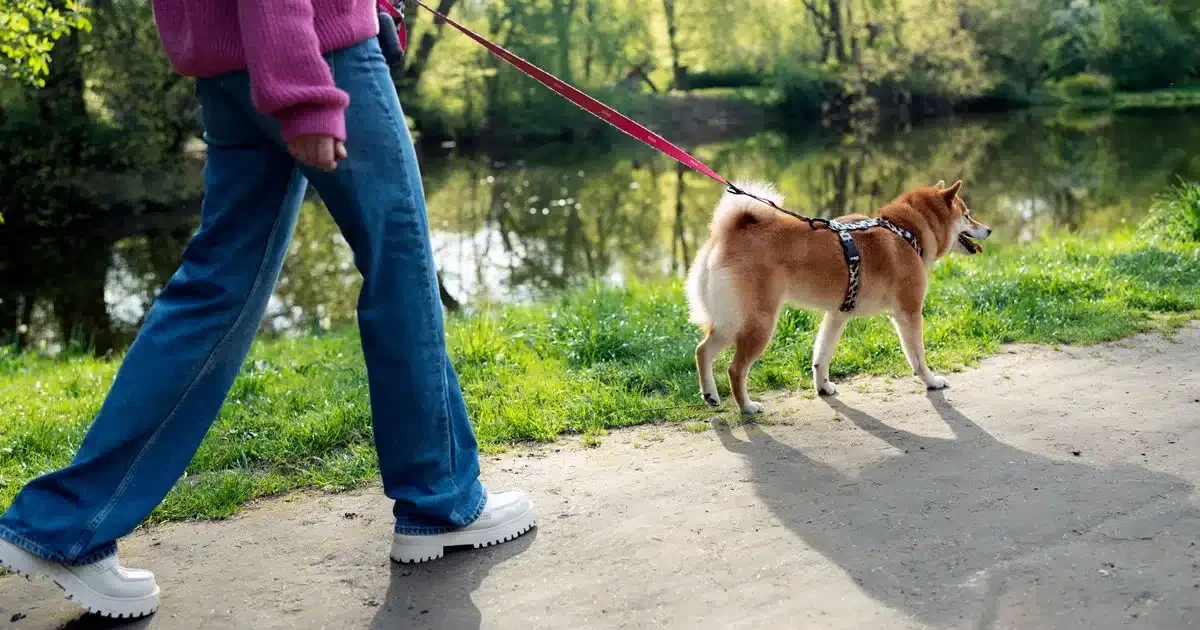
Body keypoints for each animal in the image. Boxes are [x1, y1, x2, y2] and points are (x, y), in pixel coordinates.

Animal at [691, 177, 988, 412]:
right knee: (735, 369)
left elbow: (821, 356)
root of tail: (729, 235)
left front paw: (823, 387)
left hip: (730, 321)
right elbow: (917, 355)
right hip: (758, 323)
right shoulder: (909, 311)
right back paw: (746, 406)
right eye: (967, 214)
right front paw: (931, 381)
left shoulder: (837, 315)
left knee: (702, 350)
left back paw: (710, 395)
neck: (905, 231)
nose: (989, 229)